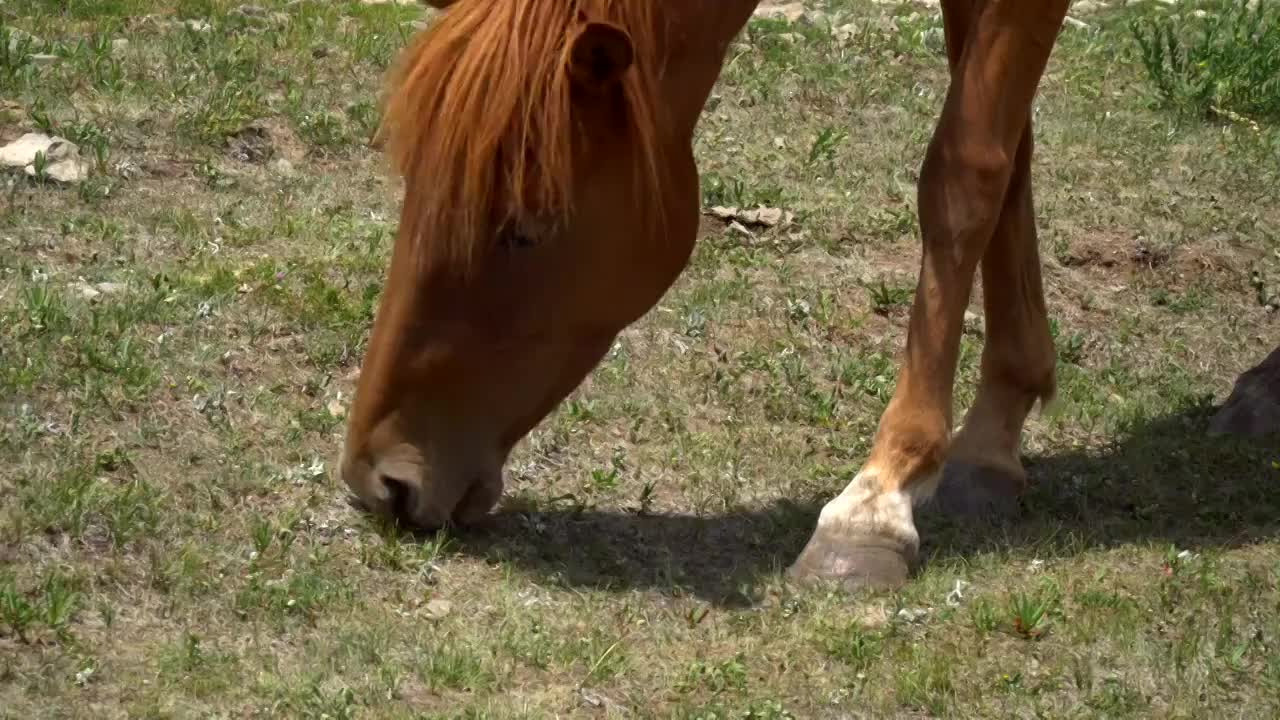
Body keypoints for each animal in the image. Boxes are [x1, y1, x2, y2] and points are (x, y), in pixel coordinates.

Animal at [335, 0, 1274, 591]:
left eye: (524, 228)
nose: (379, 481)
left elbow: (965, 169)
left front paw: (876, 503)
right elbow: (1014, 156)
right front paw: (993, 440)